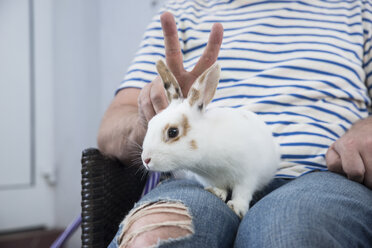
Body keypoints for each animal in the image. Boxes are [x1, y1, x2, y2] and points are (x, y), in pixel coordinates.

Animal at [142, 60, 280, 217]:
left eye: (172, 132)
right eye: (150, 123)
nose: (146, 160)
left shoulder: (247, 176)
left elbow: (242, 193)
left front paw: (237, 208)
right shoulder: (212, 179)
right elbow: (220, 188)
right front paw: (216, 193)